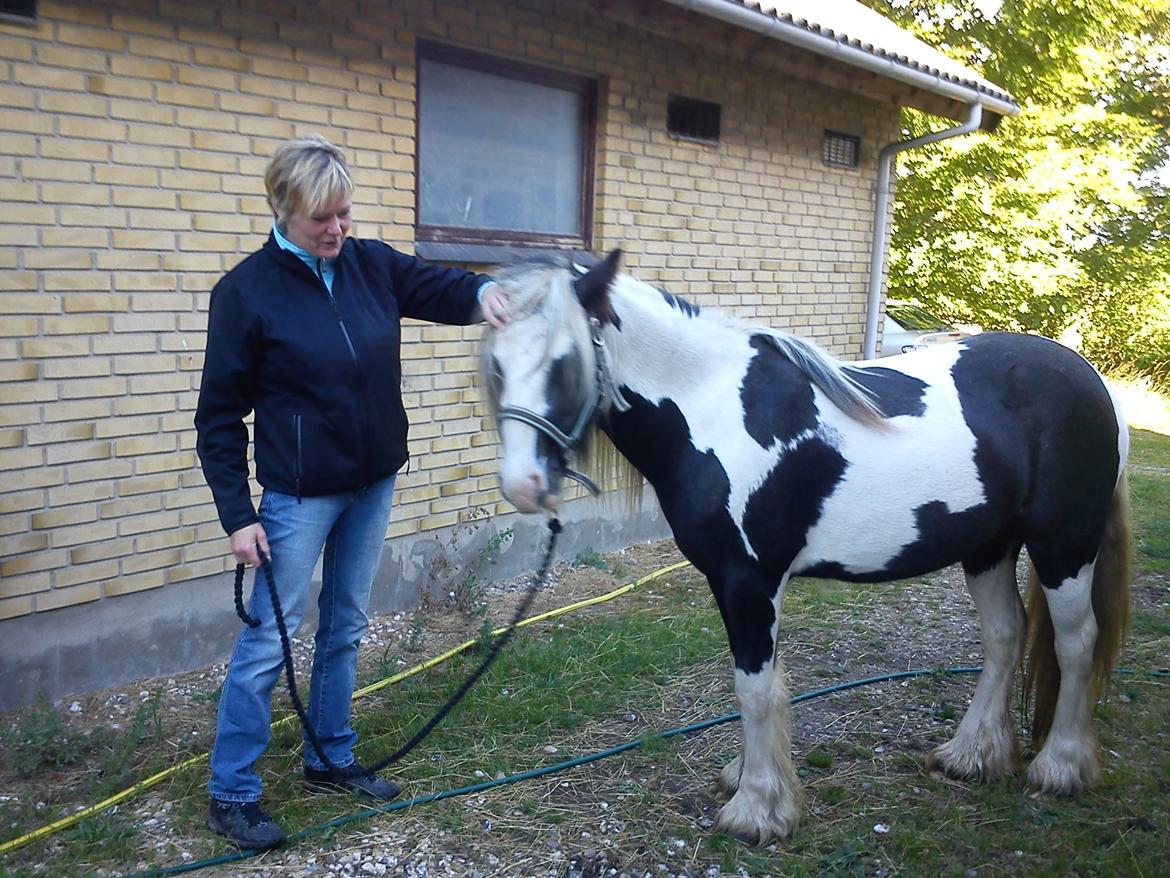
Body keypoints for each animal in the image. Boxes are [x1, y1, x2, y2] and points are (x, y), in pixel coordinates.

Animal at [479, 249, 1127, 847]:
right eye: (497, 365)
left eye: (563, 363)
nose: (523, 485)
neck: (712, 406)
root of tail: (1090, 379)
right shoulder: (744, 584)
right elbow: (761, 682)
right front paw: (748, 777)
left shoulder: (749, 580)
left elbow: (754, 687)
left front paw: (756, 809)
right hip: (988, 547)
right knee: (1004, 636)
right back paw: (972, 755)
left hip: (1063, 546)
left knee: (1076, 643)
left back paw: (1060, 768)